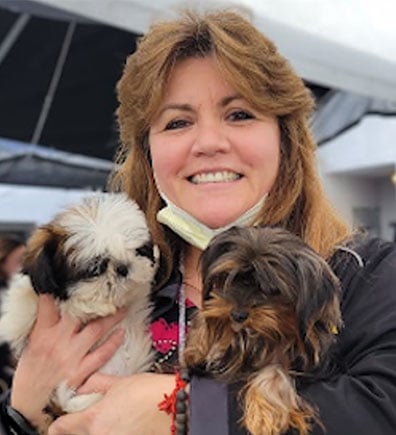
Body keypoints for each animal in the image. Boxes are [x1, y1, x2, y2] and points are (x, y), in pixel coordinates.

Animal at [184, 227, 342, 435]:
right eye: (228, 277)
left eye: (272, 288)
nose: (238, 315)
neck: (266, 333)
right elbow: (207, 314)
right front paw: (198, 346)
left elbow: (275, 371)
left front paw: (264, 417)